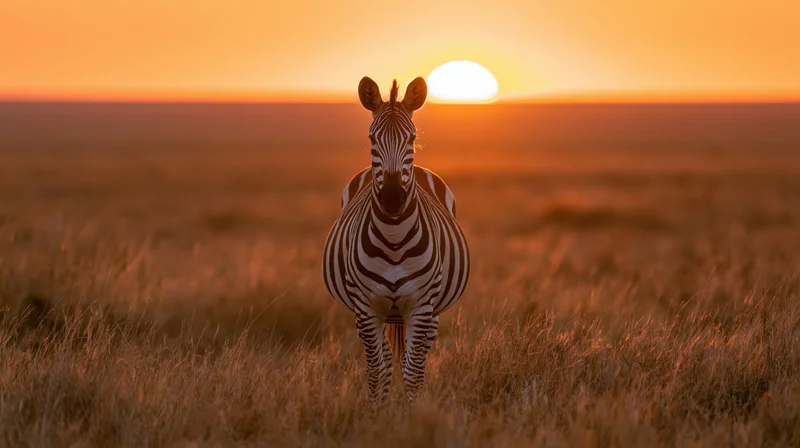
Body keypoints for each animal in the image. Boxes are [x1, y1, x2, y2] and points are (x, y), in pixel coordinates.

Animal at [322, 76, 470, 406]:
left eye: (412, 138)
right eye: (371, 138)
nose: (391, 199)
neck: (393, 239)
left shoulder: (422, 306)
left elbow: (413, 372)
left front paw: (412, 414)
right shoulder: (366, 308)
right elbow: (378, 371)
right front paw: (378, 414)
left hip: (432, 312)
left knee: (417, 359)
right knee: (386, 360)